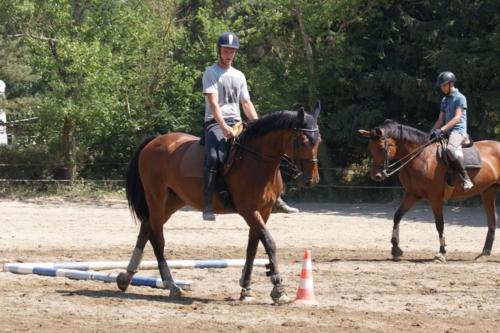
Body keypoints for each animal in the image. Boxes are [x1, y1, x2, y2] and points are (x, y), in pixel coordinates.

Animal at [116, 104, 320, 304]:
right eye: (301, 141)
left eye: (318, 142)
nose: (311, 180)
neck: (256, 161)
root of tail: (155, 141)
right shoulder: (249, 210)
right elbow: (269, 242)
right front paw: (278, 289)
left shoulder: (264, 210)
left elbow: (252, 247)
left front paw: (246, 289)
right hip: (156, 198)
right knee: (157, 238)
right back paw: (171, 284)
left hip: (173, 201)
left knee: (146, 228)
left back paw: (126, 278)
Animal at [360, 120, 500, 260]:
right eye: (370, 148)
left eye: (381, 148)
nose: (376, 175)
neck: (421, 157)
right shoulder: (412, 195)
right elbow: (397, 216)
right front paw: (395, 248)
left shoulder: (435, 197)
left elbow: (439, 223)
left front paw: (442, 252)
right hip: (488, 191)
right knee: (492, 220)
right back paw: (484, 253)